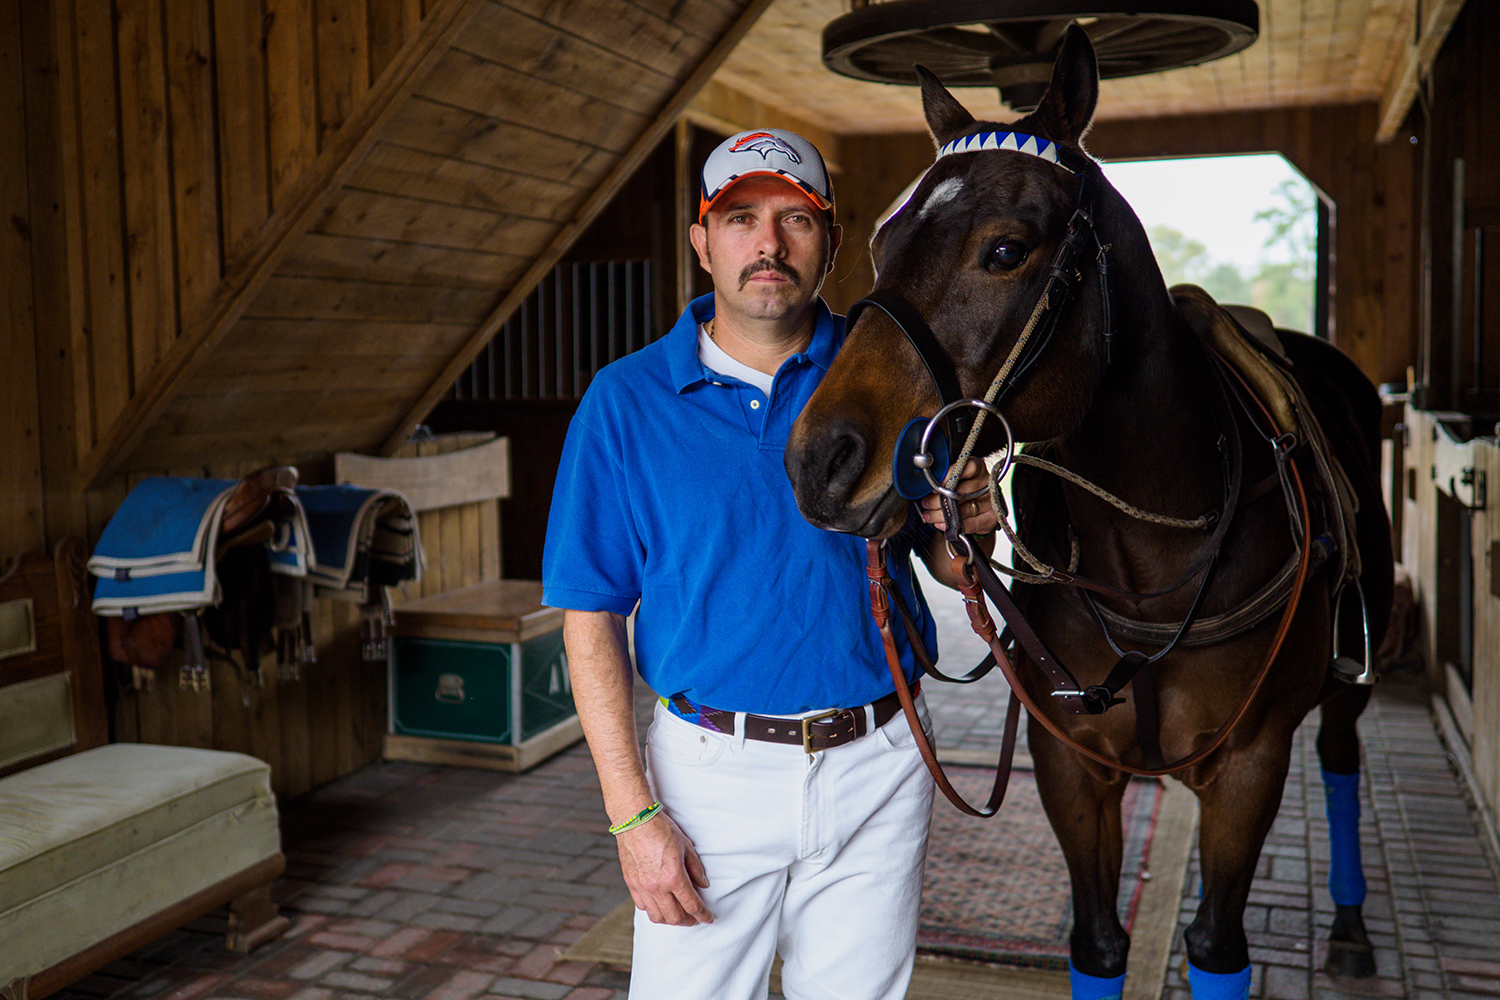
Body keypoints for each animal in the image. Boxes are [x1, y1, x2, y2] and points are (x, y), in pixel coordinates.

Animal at [786, 23, 1392, 1000]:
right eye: (881, 240)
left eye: (1006, 250)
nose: (821, 459)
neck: (1150, 564)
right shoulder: (1070, 765)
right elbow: (1098, 943)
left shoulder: (1251, 767)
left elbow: (1217, 948)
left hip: (1346, 684)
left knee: (1342, 758)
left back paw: (1348, 924)